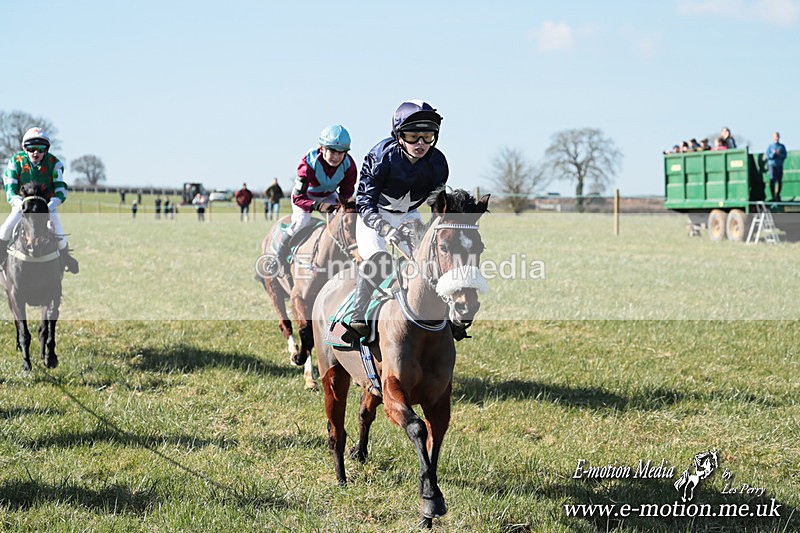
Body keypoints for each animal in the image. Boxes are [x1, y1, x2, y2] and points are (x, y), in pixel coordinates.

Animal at [0, 182, 64, 372]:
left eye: (45, 210)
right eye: (23, 211)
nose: (34, 245)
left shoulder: (52, 292)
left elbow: (47, 326)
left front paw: (50, 357)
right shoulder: (16, 295)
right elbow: (24, 331)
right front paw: (26, 364)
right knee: (16, 321)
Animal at [256, 200, 358, 388]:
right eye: (347, 225)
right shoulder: (299, 298)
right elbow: (306, 331)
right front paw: (301, 361)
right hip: (273, 288)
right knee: (285, 324)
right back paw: (296, 354)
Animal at [311, 188, 490, 527]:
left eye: (480, 247)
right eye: (444, 246)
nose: (465, 304)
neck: (423, 327)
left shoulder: (439, 399)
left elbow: (434, 440)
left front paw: (427, 507)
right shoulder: (395, 392)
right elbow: (418, 428)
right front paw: (432, 500)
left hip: (370, 382)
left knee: (364, 413)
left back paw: (360, 452)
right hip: (333, 375)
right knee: (335, 429)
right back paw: (341, 477)